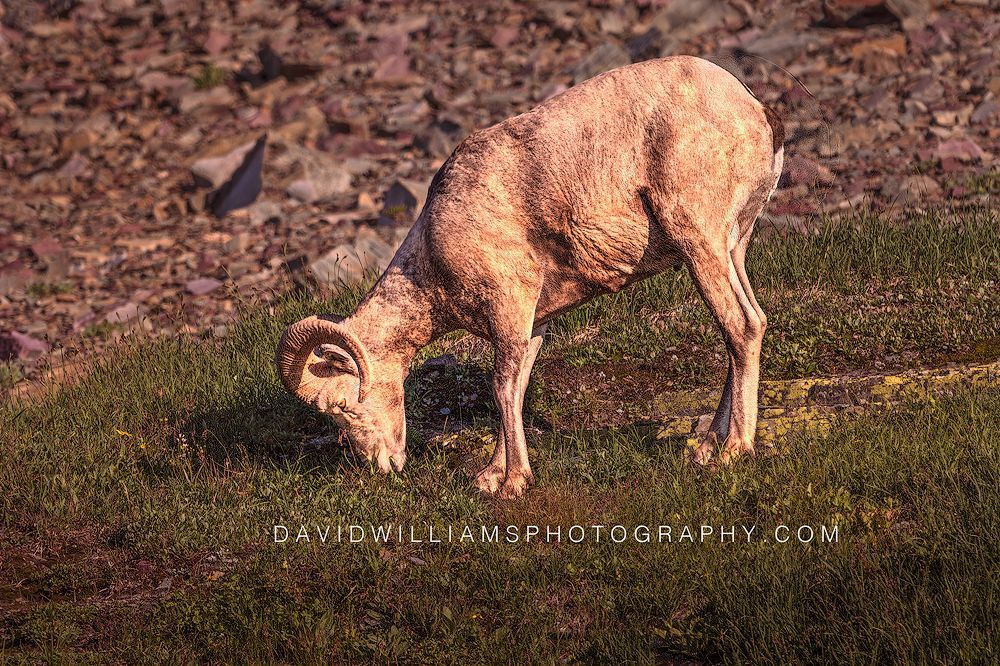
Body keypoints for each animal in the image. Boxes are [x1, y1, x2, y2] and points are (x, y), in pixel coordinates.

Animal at [276, 55, 785, 498]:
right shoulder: (531, 324)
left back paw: (734, 450)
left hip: (699, 240)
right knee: (750, 324)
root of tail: (756, 111)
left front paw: (513, 483)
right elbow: (516, 389)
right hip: (732, 247)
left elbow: (501, 387)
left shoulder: (508, 308)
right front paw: (489, 476)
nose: (380, 464)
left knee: (740, 325)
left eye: (342, 406)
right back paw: (706, 448)